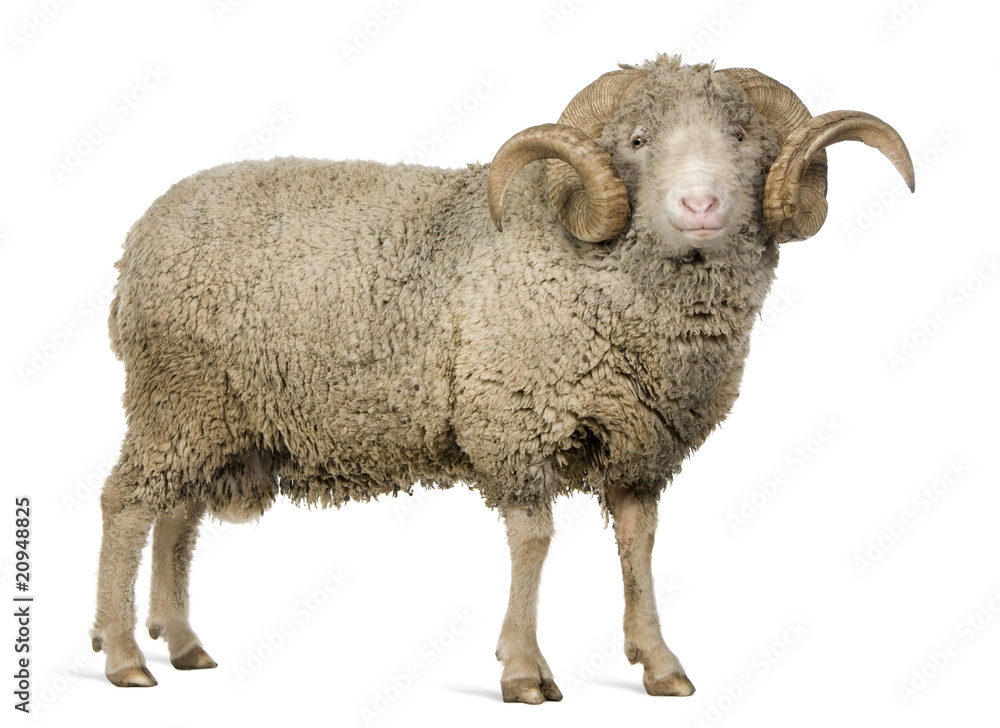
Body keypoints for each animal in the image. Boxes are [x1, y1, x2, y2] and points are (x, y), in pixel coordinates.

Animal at [91, 53, 914, 702]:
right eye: (638, 141)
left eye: (742, 138)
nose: (701, 204)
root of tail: (138, 239)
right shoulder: (514, 415)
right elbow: (534, 539)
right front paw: (524, 670)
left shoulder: (640, 441)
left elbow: (639, 542)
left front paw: (659, 663)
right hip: (176, 399)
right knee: (126, 507)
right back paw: (126, 656)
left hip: (214, 418)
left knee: (178, 515)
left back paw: (183, 643)